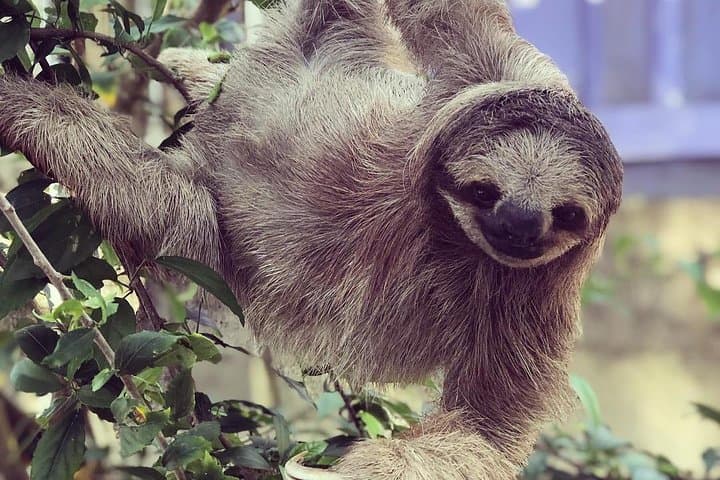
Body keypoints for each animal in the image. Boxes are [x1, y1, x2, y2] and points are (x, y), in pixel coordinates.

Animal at [0, 0, 624, 478]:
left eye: (567, 213)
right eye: (484, 190)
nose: (518, 224)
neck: (441, 216)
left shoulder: (536, 293)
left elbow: (487, 425)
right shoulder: (491, 76)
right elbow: (449, 18)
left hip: (203, 217)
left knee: (164, 199)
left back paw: (27, 106)